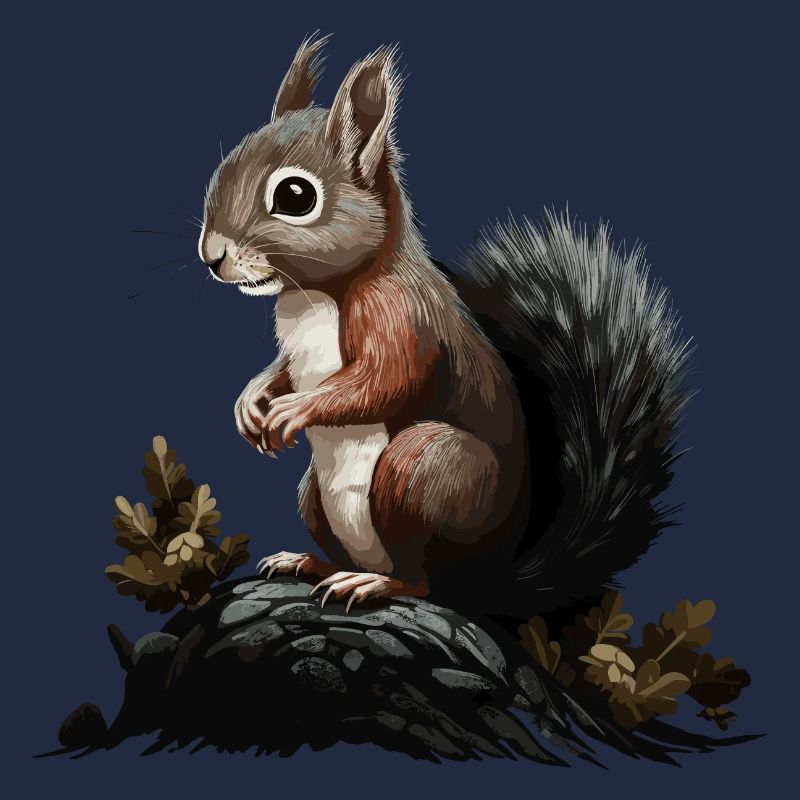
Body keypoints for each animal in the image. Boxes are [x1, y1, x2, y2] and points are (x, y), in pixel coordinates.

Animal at [198, 34, 691, 620]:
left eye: (296, 196)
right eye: (224, 167)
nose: (211, 255)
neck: (313, 294)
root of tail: (490, 583)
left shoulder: (401, 316)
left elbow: (384, 378)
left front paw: (295, 408)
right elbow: (280, 369)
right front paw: (250, 403)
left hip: (425, 469)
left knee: (423, 580)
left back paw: (372, 582)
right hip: (316, 492)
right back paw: (310, 562)